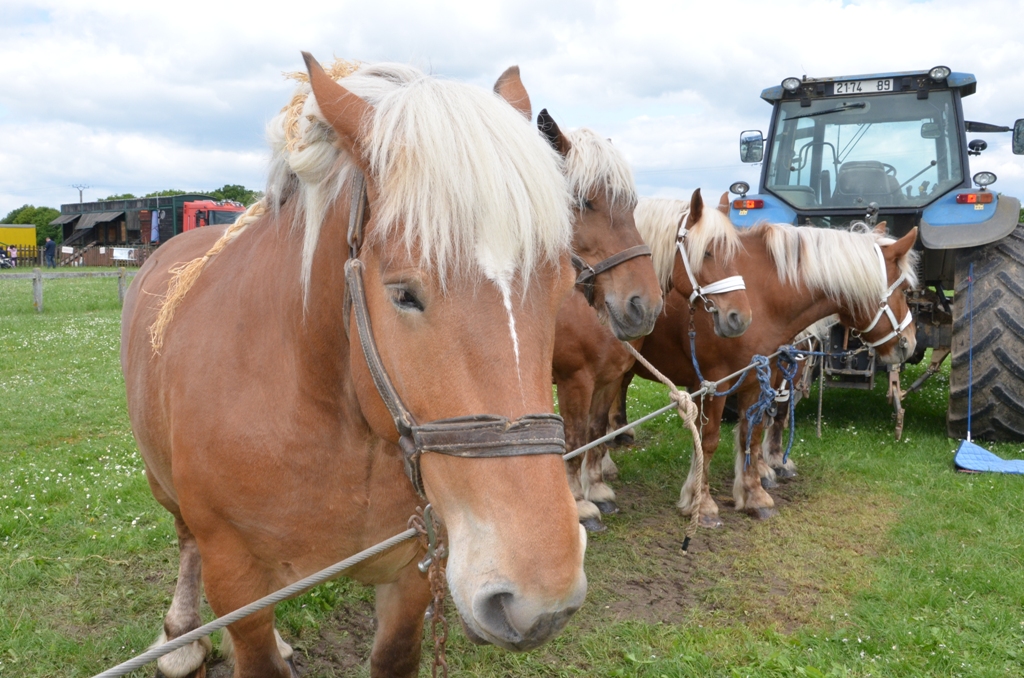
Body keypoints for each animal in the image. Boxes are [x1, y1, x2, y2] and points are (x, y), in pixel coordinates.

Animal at [120, 58, 589, 678]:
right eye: (403, 294)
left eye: (562, 286)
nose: (541, 596)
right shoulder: (236, 578)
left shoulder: (416, 566)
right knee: (185, 542)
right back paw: (181, 640)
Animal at [552, 188, 753, 532]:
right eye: (708, 253)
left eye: (736, 253)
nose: (740, 317)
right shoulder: (575, 381)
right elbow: (576, 441)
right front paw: (580, 505)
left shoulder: (609, 378)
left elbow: (596, 432)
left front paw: (598, 490)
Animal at [614, 197, 921, 524]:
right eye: (905, 290)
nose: (910, 343)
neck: (762, 298)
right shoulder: (713, 384)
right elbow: (708, 441)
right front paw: (702, 502)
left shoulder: (761, 375)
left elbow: (755, 431)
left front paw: (755, 492)